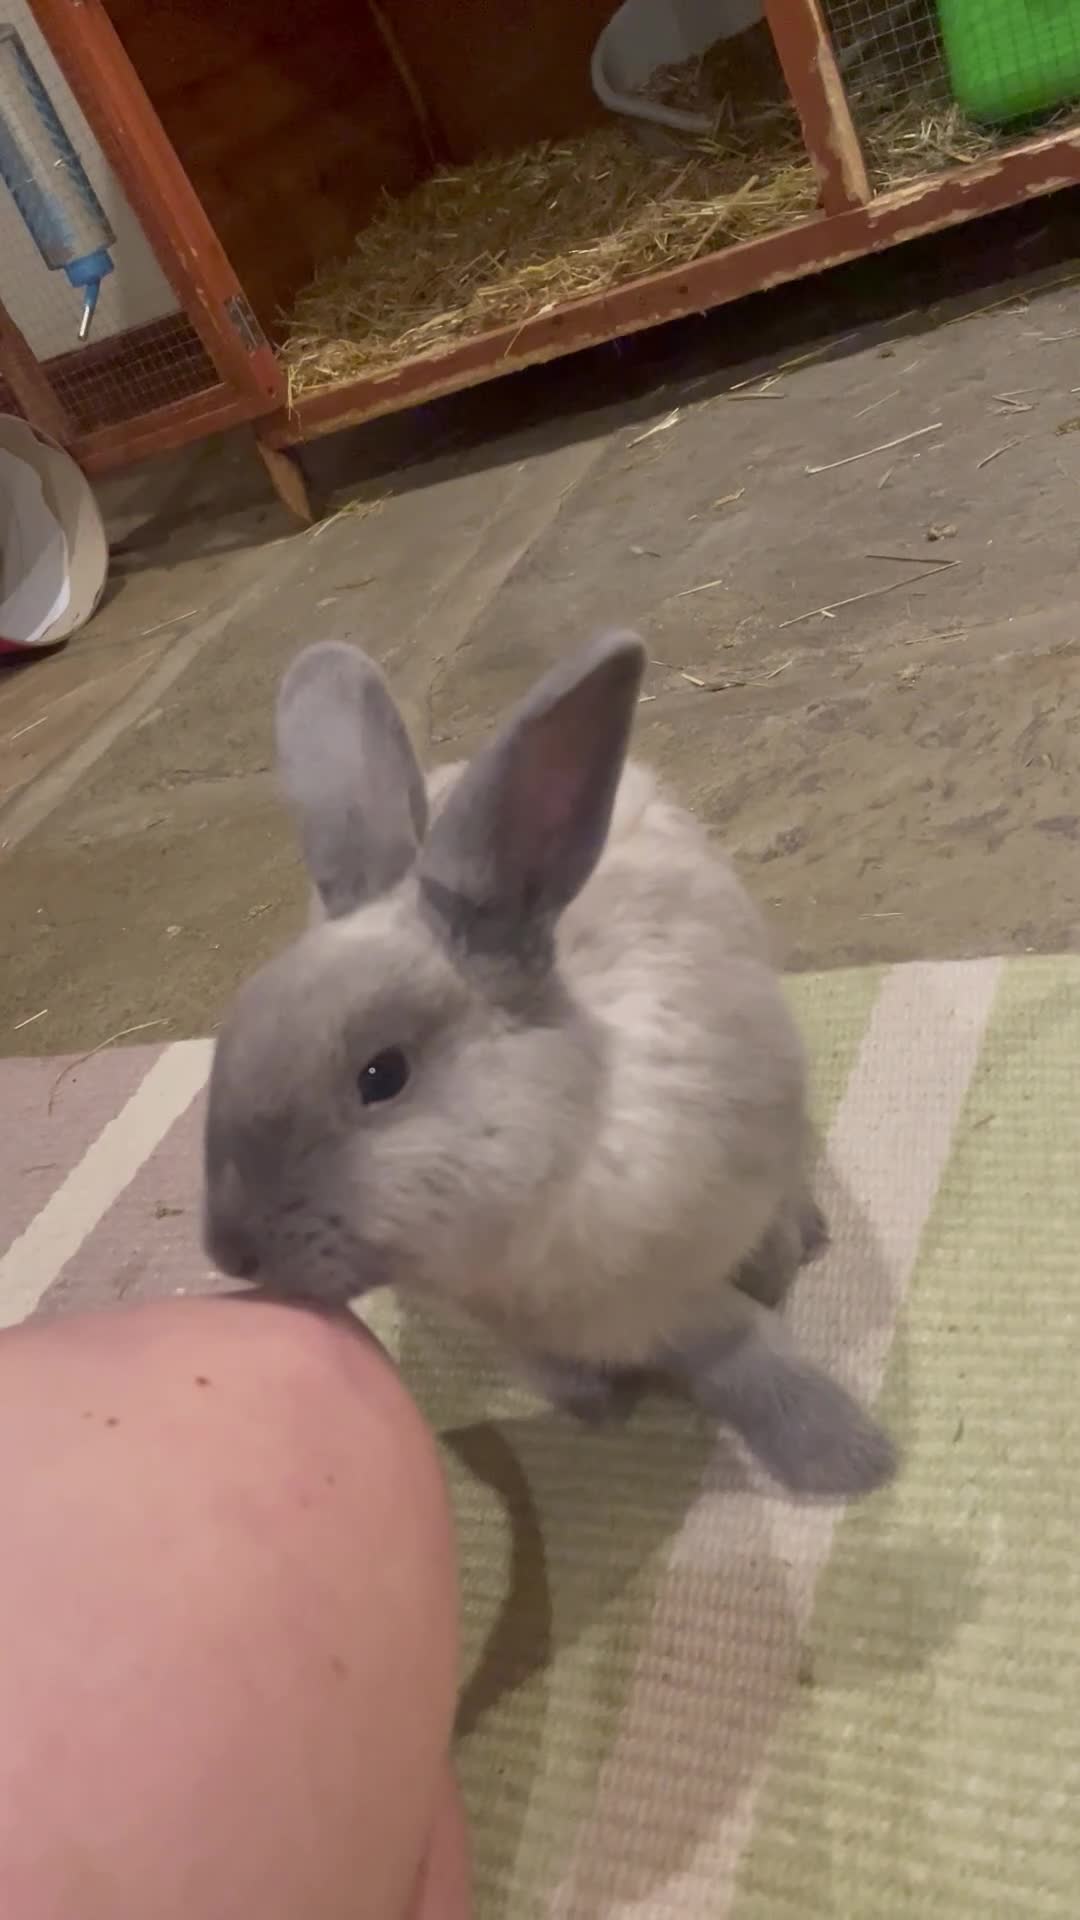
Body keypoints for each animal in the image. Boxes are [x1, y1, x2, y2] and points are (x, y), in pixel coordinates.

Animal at [203, 631, 895, 1499]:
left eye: (382, 1077)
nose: (228, 1252)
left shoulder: (695, 1272)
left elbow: (745, 1350)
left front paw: (851, 1460)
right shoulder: (545, 1326)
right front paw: (596, 1408)